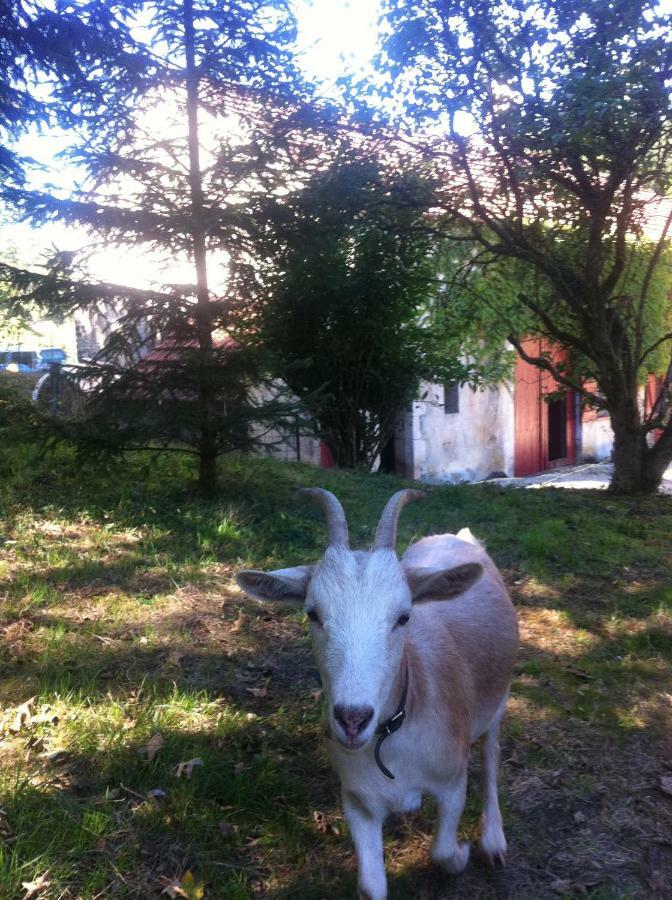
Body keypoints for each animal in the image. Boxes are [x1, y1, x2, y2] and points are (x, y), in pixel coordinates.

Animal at [238, 488, 520, 900]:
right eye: (312, 613)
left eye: (404, 616)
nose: (352, 719)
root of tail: (457, 537)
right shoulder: (358, 801)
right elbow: (372, 886)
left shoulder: (452, 782)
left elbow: (441, 850)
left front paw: (463, 853)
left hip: (497, 703)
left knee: (491, 756)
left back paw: (495, 840)